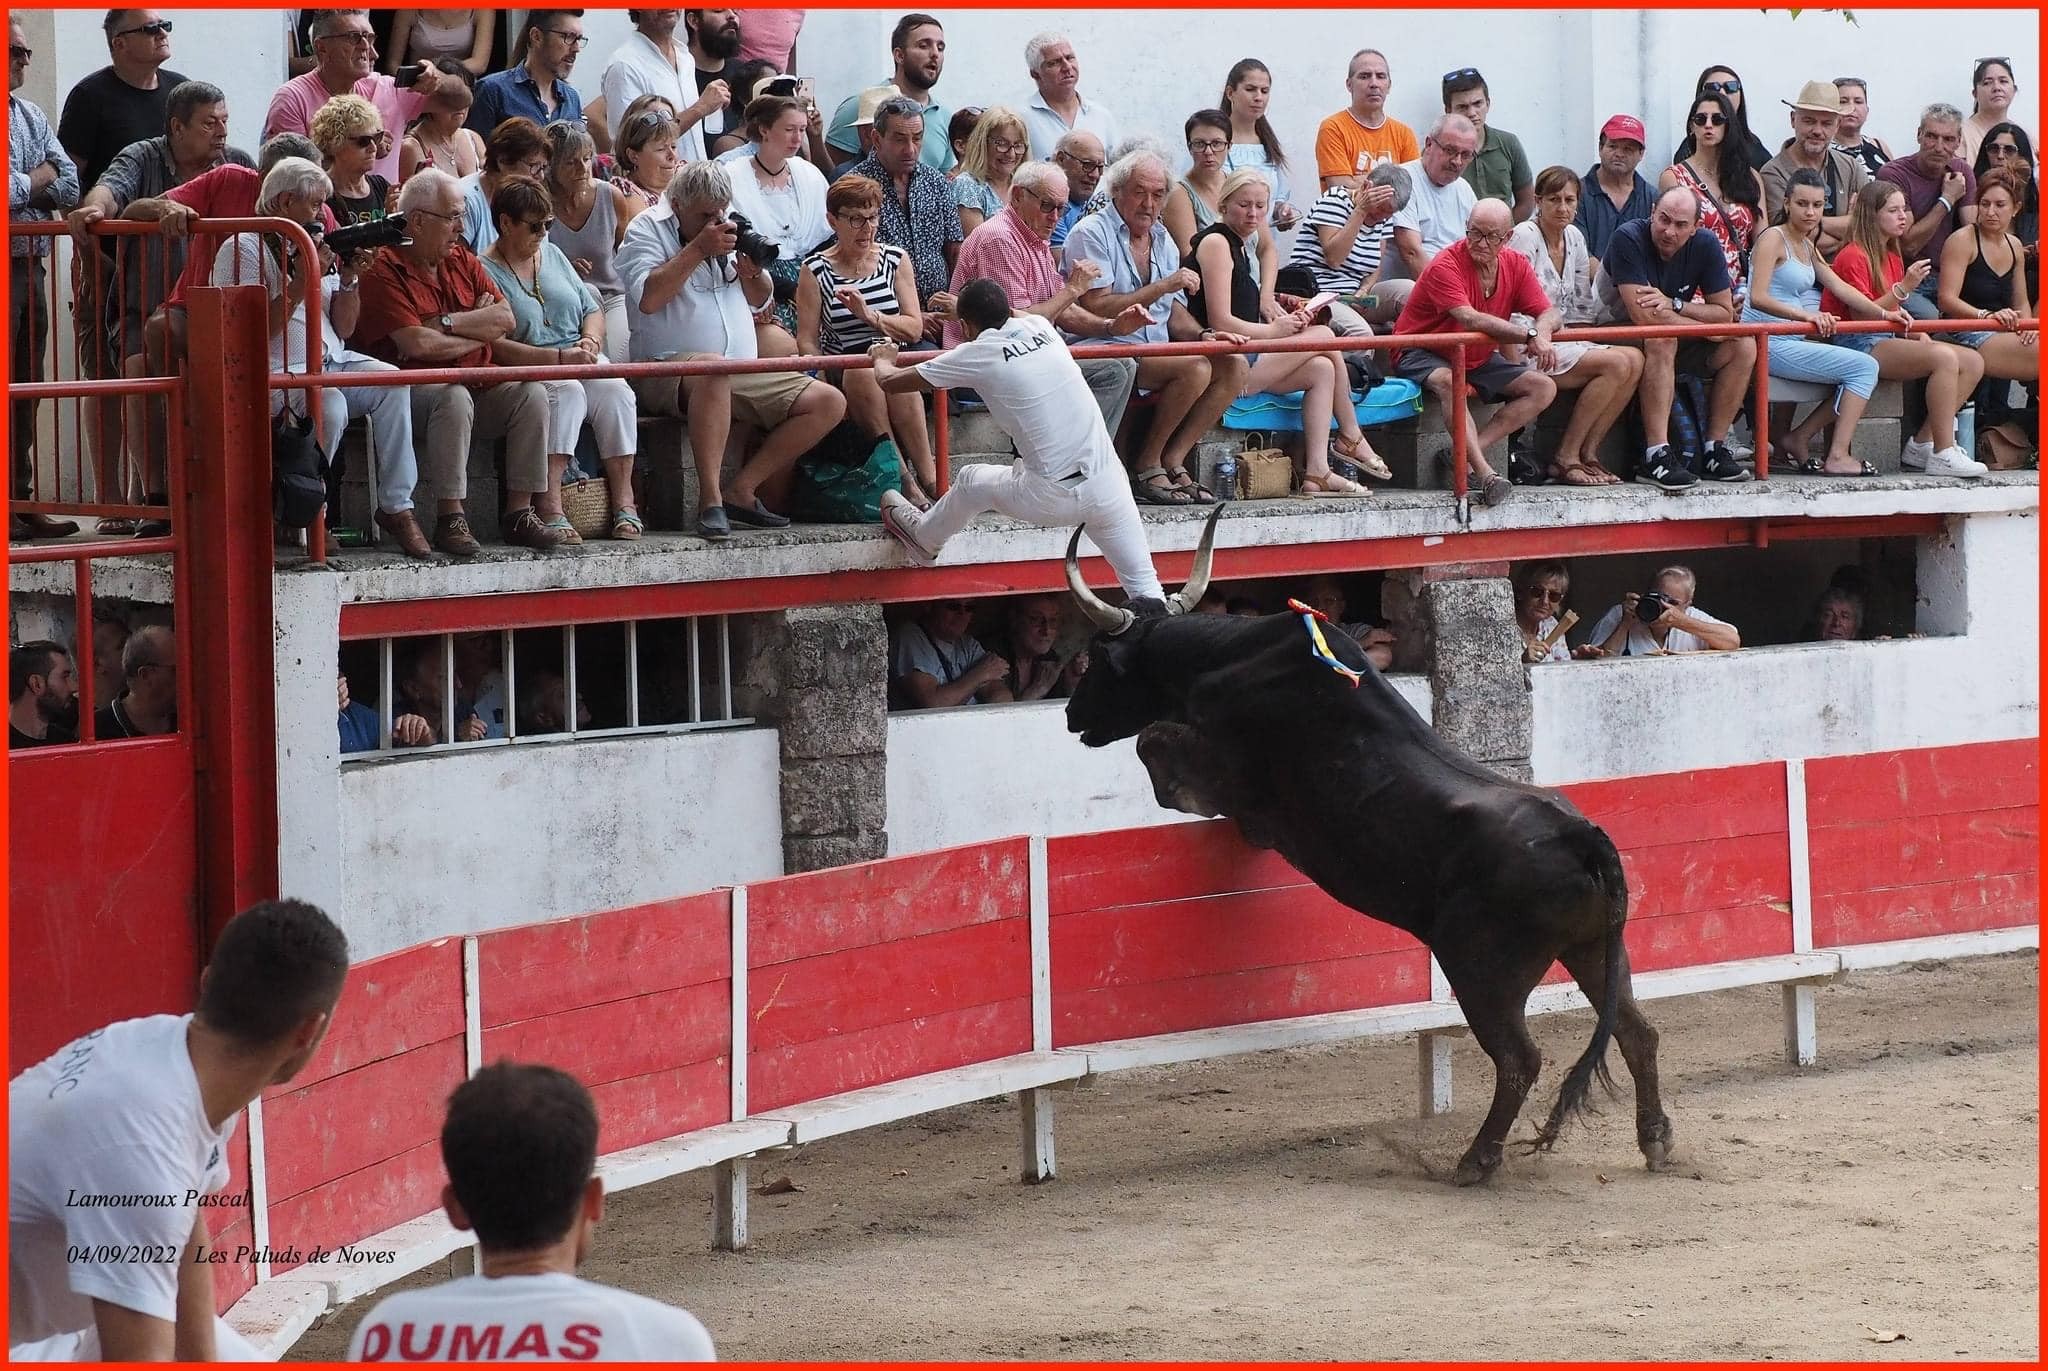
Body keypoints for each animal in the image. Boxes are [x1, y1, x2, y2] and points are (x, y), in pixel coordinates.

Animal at [1064, 518, 1671, 1180]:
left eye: (1096, 658)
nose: (1070, 714)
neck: (1228, 656)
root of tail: (1580, 836)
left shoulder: (1224, 765)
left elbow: (1153, 741)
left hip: (1480, 968)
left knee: (1520, 1059)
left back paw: (1475, 1161)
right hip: (1596, 950)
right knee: (1637, 1032)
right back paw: (1655, 1139)